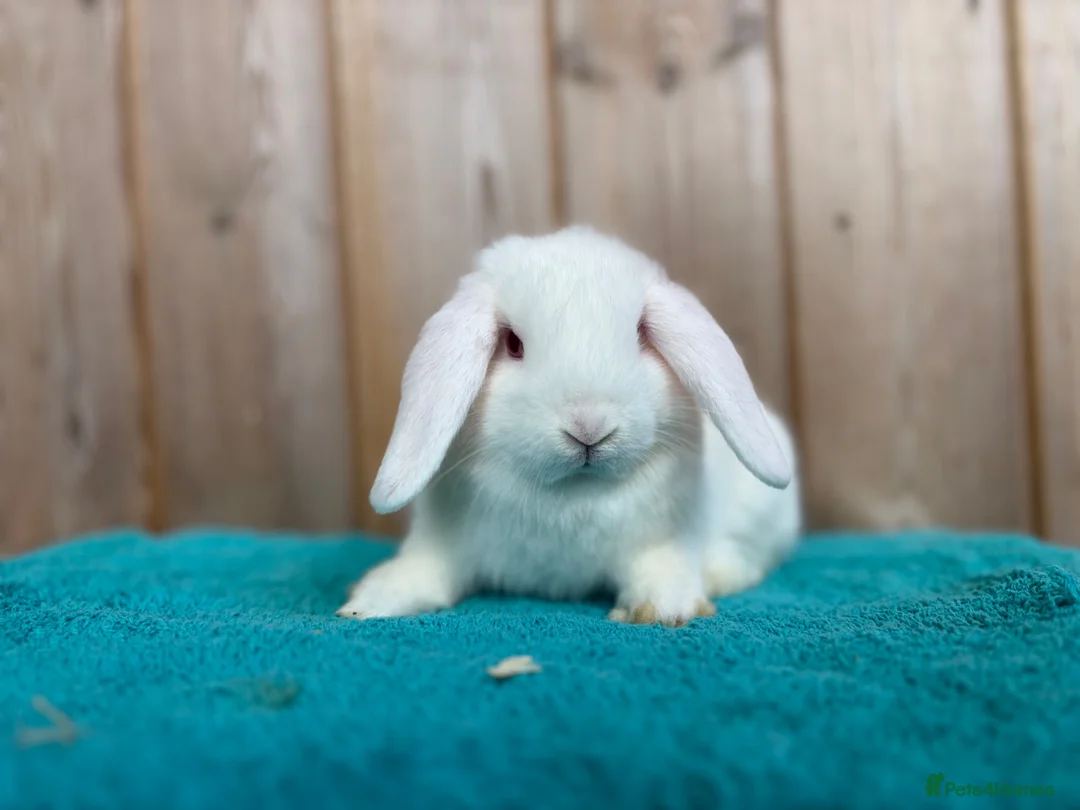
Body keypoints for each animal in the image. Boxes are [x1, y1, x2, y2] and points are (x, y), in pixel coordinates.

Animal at [338, 226, 802, 627]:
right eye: (513, 344)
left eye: (640, 334)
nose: (589, 428)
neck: (571, 496)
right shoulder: (442, 543)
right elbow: (425, 571)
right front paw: (368, 602)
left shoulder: (662, 540)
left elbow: (661, 570)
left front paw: (661, 609)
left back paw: (721, 574)